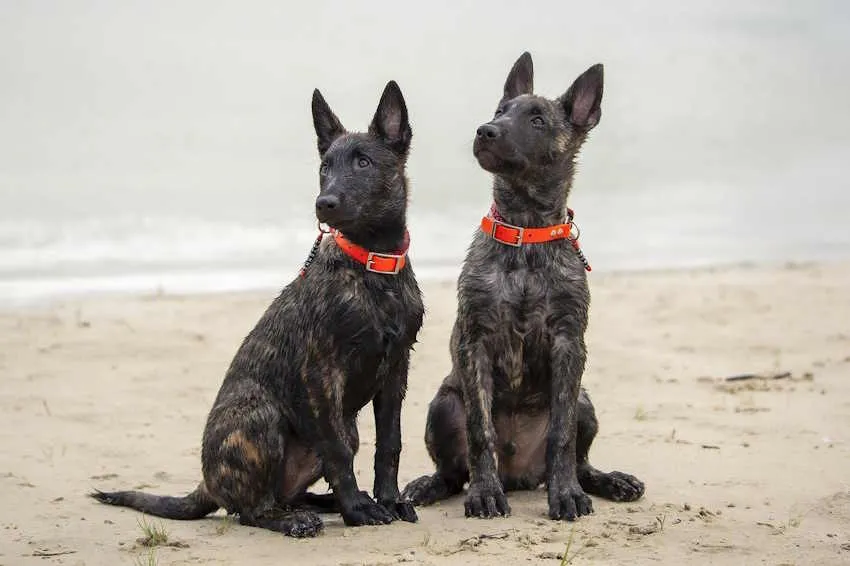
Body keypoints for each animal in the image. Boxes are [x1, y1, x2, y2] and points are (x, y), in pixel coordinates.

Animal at [93, 80, 424, 536]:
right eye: (324, 166)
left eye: (363, 162)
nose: (325, 203)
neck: (373, 266)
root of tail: (207, 482)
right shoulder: (322, 373)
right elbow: (338, 452)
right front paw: (360, 509)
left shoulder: (395, 371)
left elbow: (389, 444)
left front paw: (388, 501)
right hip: (261, 418)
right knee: (252, 509)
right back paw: (301, 518)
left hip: (340, 427)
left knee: (289, 492)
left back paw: (323, 503)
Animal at [404, 54, 644, 524]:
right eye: (500, 111)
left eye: (537, 120)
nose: (486, 130)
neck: (526, 233)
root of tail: (519, 476)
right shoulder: (475, 342)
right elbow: (480, 432)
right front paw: (484, 494)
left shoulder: (568, 343)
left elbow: (562, 437)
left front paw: (566, 495)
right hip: (443, 404)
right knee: (452, 471)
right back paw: (432, 485)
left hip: (585, 401)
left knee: (580, 459)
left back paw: (609, 481)